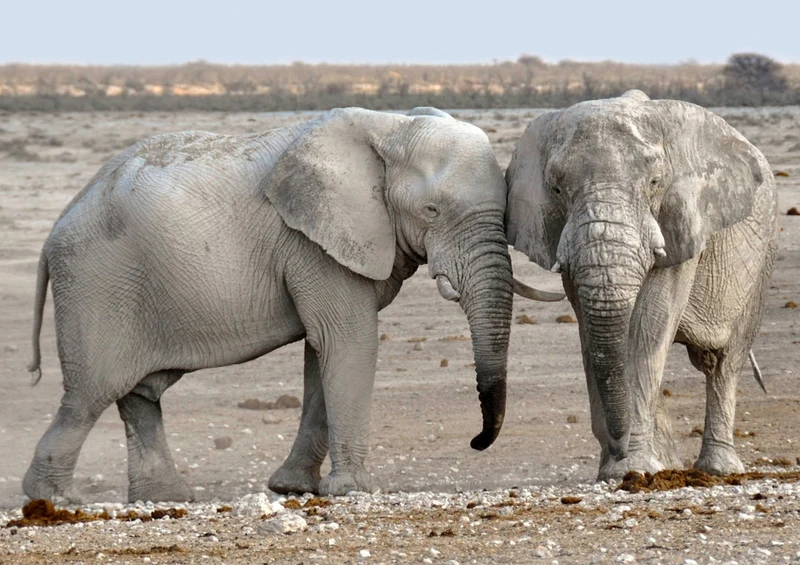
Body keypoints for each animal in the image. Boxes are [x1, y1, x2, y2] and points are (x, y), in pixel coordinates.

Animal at [23, 106, 561, 503]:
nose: (475, 442)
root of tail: (58, 224)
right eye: (431, 211)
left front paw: (293, 488)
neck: (388, 128)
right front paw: (351, 491)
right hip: (95, 284)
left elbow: (321, 352)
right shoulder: (310, 240)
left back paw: (166, 499)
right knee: (88, 396)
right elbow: (348, 341)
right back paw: (53, 501)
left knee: (139, 397)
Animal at [506, 90, 778, 480]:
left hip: (763, 256)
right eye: (556, 188)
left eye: (654, 183)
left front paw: (634, 471)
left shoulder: (683, 221)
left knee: (725, 360)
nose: (617, 451)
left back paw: (718, 470)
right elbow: (592, 332)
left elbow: (649, 322)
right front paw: (620, 472)